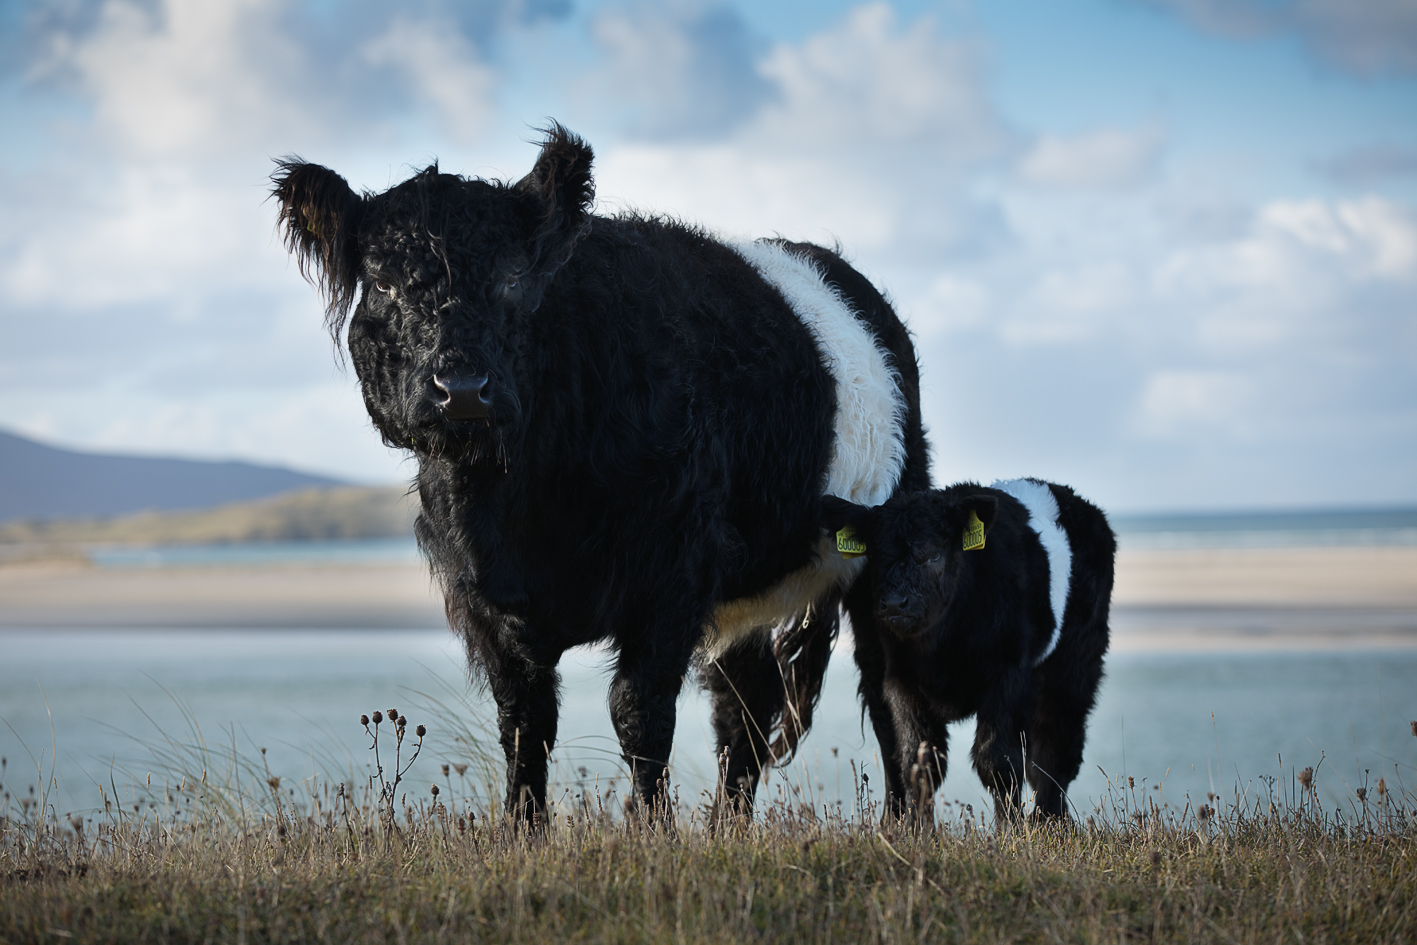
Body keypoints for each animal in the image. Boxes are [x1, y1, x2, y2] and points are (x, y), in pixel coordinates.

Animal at [272, 125, 929, 821]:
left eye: (513, 277)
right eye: (384, 283)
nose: (463, 390)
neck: (514, 501)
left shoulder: (673, 570)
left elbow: (638, 714)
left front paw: (650, 831)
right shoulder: (484, 599)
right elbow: (524, 722)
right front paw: (521, 830)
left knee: (887, 694)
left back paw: (901, 827)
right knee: (743, 706)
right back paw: (727, 829)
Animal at [827, 476, 1110, 821]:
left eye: (934, 554)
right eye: (876, 556)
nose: (894, 603)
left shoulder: (1008, 676)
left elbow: (998, 762)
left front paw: (1011, 831)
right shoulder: (901, 680)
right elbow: (918, 763)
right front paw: (917, 831)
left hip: (1075, 665)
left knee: (1056, 751)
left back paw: (1049, 821)